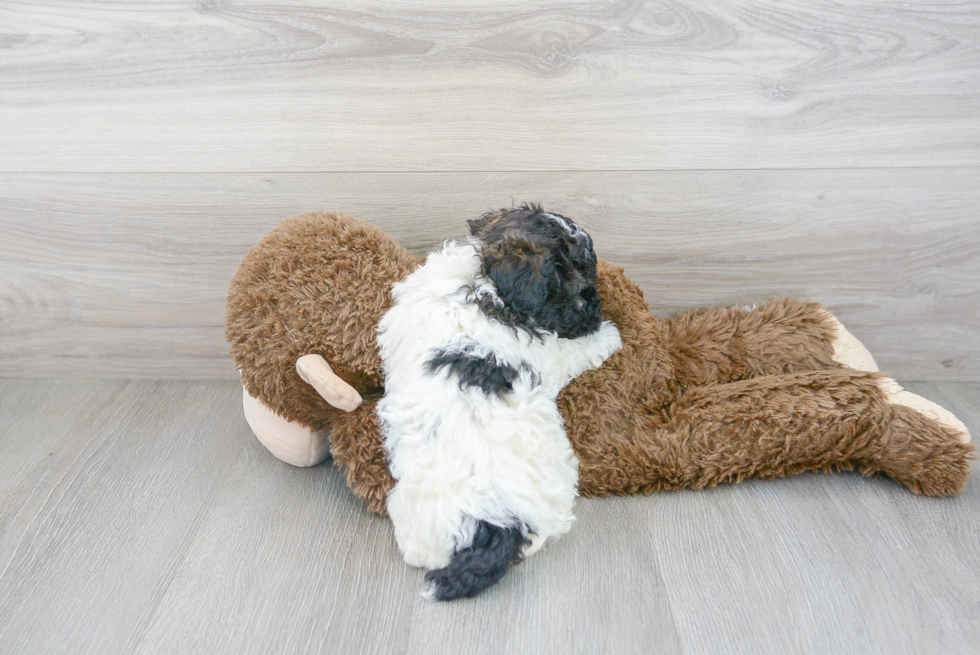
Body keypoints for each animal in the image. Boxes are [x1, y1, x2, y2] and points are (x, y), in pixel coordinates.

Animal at [376, 205, 620, 600]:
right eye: (577, 294)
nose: (597, 312)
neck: (481, 281)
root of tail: (490, 526)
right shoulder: (549, 355)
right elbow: (574, 351)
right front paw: (609, 335)